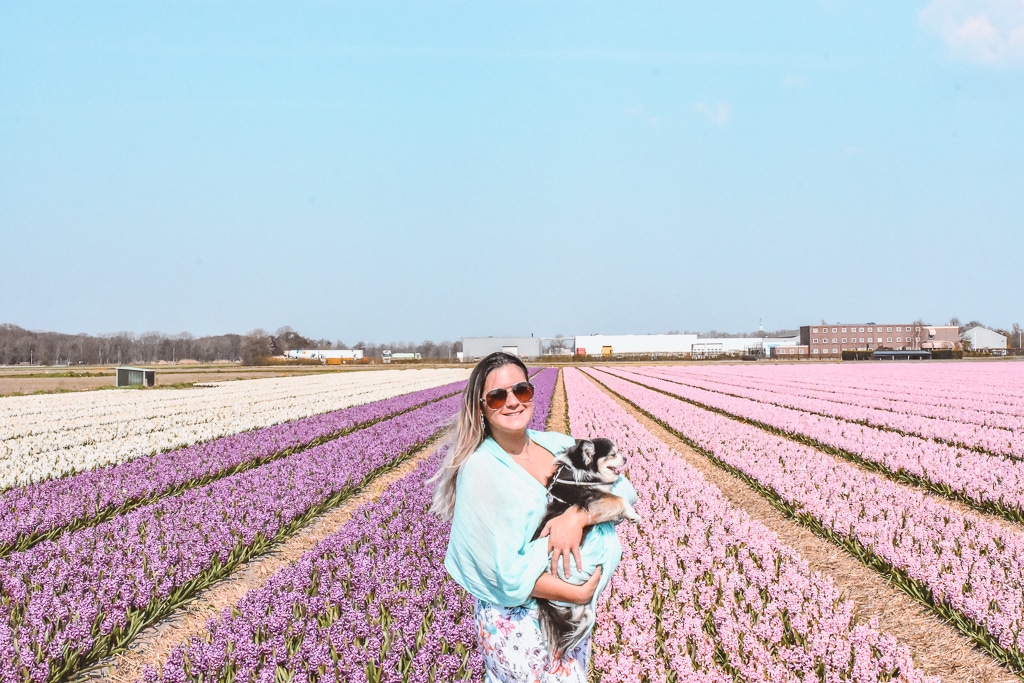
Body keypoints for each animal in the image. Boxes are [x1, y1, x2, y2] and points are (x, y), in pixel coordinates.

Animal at [528, 440, 638, 659]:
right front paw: (633, 515)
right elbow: (619, 499)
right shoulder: (593, 497)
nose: (626, 457)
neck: (581, 471)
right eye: (613, 454)